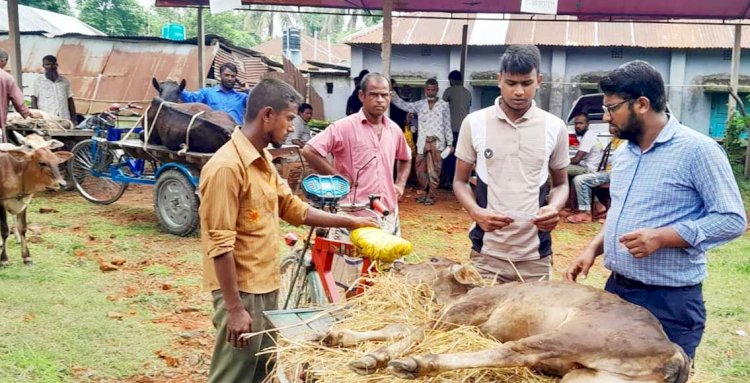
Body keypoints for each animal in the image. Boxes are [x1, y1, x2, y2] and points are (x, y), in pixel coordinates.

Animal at [0, 135, 72, 268]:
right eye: (42, 162)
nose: (62, 184)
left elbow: (23, 228)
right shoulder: (1, 203)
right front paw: (4, 259)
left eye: (57, 162)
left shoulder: (24, 202)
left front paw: (27, 257)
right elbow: (5, 230)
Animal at [318, 256, 692, 383]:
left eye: (435, 260)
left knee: (513, 352)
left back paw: (416, 364)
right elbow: (400, 326)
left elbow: (414, 331)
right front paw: (336, 336)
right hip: (583, 377)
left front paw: (373, 357)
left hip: (575, 334)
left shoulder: (465, 313)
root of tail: (675, 351)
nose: (397, 264)